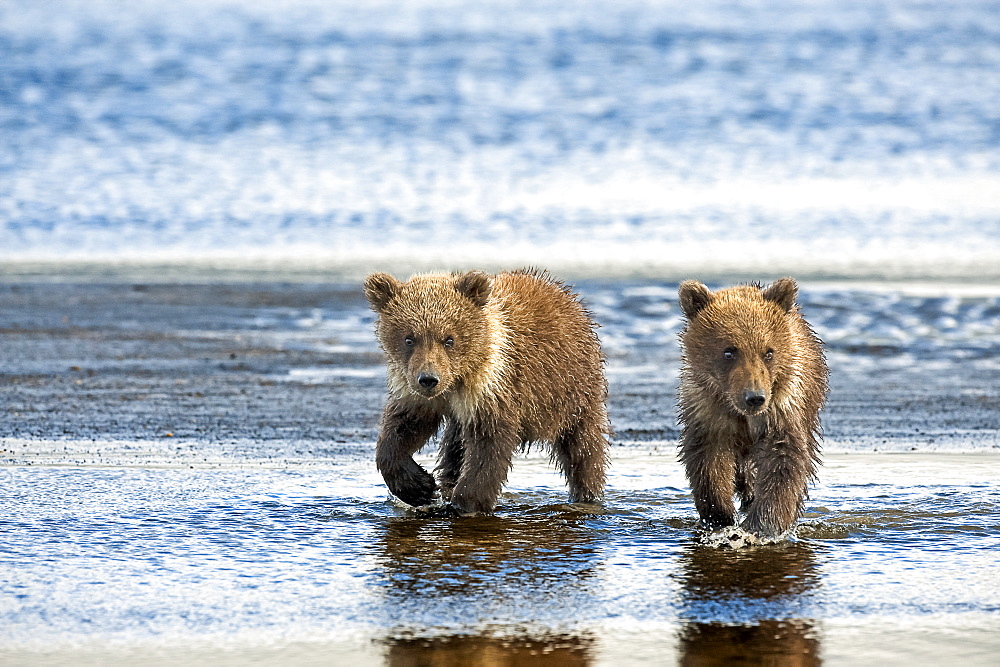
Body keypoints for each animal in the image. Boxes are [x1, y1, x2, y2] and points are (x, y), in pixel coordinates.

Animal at [362, 268, 608, 516]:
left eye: (449, 339)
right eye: (409, 338)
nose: (429, 379)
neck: (456, 381)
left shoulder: (492, 388)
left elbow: (488, 447)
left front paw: (465, 503)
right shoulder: (415, 393)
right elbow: (402, 428)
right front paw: (420, 487)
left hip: (573, 392)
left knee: (583, 448)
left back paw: (587, 494)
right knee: (455, 448)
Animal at [680, 276, 828, 536]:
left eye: (768, 352)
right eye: (729, 351)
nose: (754, 397)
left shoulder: (782, 406)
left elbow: (784, 460)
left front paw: (761, 525)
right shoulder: (708, 409)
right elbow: (709, 460)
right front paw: (721, 516)